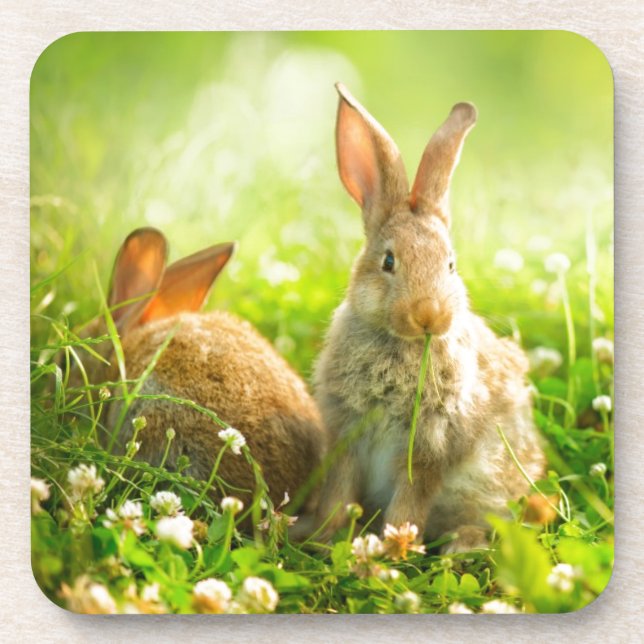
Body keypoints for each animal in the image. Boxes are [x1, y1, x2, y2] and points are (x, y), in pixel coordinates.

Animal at [314, 83, 545, 553]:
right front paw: (325, 537)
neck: (401, 345)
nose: (429, 315)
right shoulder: (346, 433)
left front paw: (393, 550)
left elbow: (409, 503)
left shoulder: (429, 448)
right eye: (388, 262)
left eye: (451, 265)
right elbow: (339, 492)